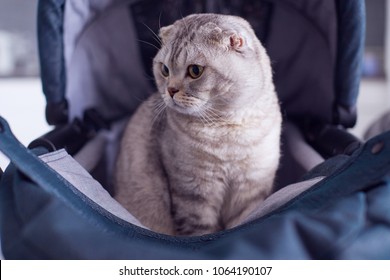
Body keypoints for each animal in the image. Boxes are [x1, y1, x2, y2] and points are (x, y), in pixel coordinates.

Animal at [114, 13, 282, 236]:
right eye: (165, 70)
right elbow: (201, 231)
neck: (227, 129)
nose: (170, 90)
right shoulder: (193, 194)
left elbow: (243, 222)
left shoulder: (250, 191)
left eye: (195, 71)